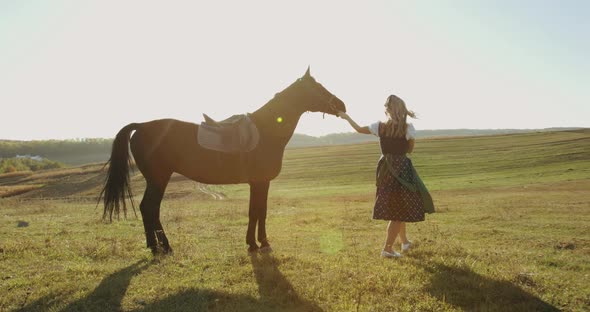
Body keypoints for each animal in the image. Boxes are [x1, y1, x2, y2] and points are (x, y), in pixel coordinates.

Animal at [98, 67, 346, 254]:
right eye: (317, 88)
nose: (342, 105)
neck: (266, 130)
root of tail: (141, 126)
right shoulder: (260, 182)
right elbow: (258, 211)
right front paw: (259, 243)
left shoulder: (259, 183)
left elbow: (257, 211)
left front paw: (255, 242)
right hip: (159, 179)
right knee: (150, 208)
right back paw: (165, 247)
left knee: (147, 209)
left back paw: (153, 246)